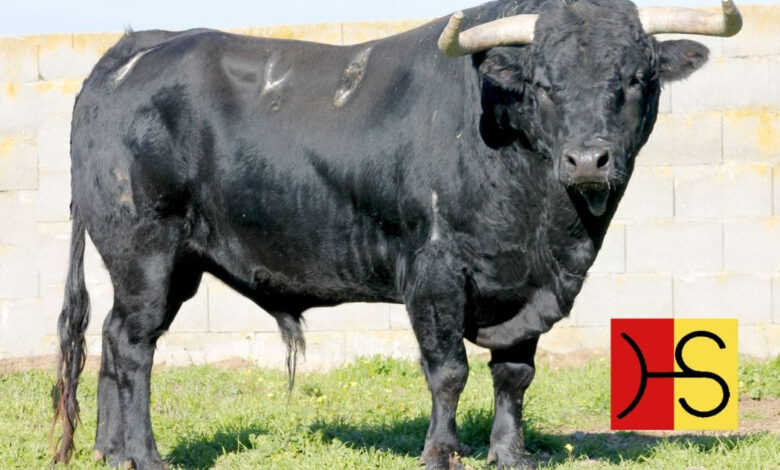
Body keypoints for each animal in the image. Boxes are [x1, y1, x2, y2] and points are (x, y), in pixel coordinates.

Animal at [51, 0, 742, 468]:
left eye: (637, 80)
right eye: (544, 84)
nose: (588, 160)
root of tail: (130, 51)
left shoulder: (529, 289)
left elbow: (514, 374)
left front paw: (510, 453)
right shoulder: (433, 272)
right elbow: (448, 370)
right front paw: (441, 452)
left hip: (169, 265)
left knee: (112, 338)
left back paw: (109, 452)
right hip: (146, 249)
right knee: (134, 346)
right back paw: (145, 456)